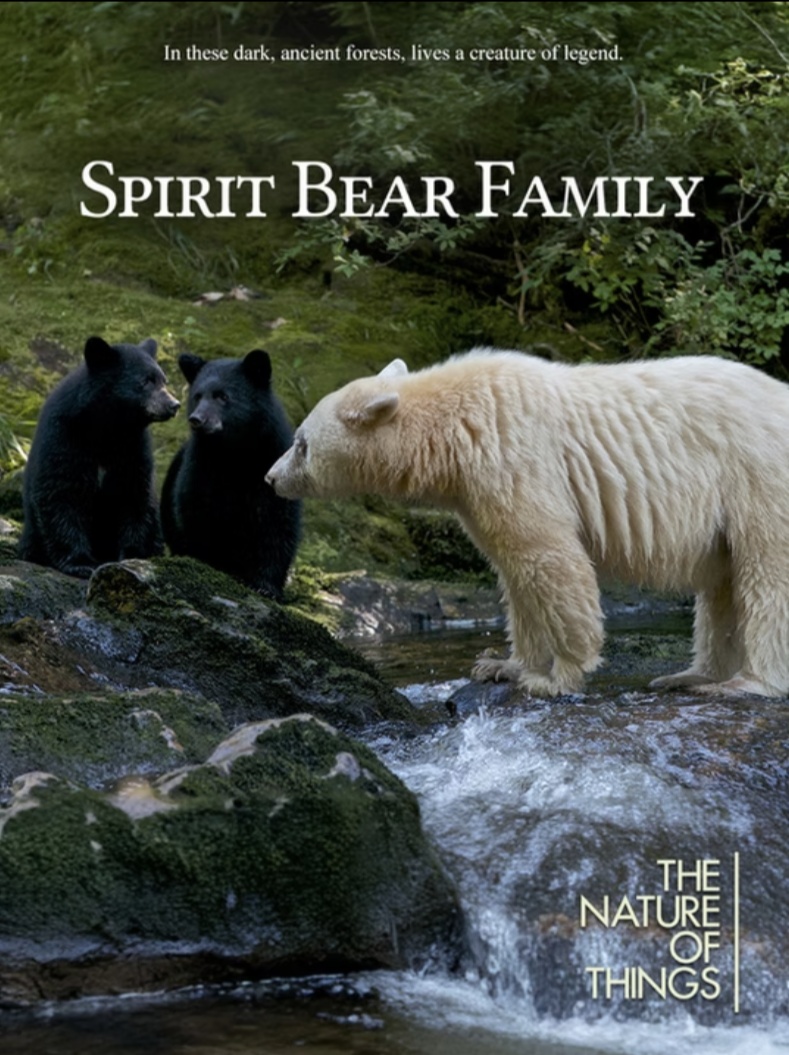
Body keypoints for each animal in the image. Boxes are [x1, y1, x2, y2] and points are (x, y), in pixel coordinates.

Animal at [19, 336, 180, 579]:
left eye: (164, 380)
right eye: (145, 381)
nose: (174, 405)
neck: (106, 427)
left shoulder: (133, 446)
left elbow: (135, 494)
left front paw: (131, 555)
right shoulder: (64, 438)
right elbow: (61, 494)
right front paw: (81, 563)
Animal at [160, 349, 301, 600]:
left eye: (223, 396)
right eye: (197, 396)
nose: (197, 419)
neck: (234, 453)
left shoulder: (271, 464)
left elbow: (277, 524)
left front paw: (266, 586)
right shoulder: (201, 466)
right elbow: (197, 512)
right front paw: (208, 565)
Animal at [266, 349, 789, 699]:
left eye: (300, 443)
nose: (270, 478)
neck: (455, 421)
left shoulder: (512, 459)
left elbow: (549, 556)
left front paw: (558, 676)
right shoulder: (477, 492)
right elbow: (516, 572)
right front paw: (503, 666)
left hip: (757, 475)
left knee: (766, 573)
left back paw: (745, 682)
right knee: (722, 586)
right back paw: (691, 675)